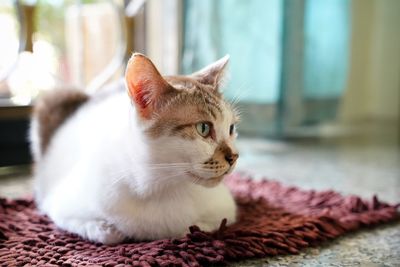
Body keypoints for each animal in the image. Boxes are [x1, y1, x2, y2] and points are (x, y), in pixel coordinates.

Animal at [30, 54, 241, 245]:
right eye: (203, 128)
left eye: (231, 128)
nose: (234, 157)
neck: (163, 185)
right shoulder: (58, 204)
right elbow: (107, 234)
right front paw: (109, 229)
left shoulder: (225, 210)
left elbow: (195, 228)